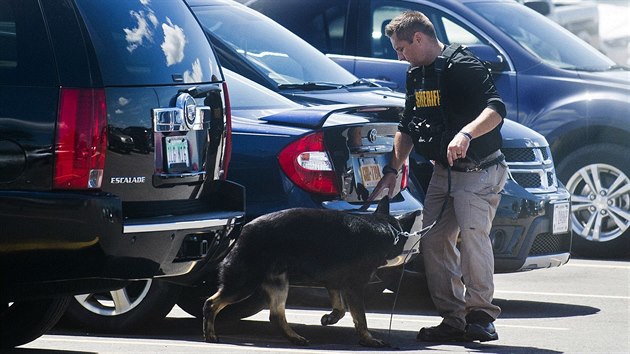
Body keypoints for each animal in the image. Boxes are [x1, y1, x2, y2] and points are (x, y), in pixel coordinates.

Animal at [205, 198, 408, 348]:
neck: (382, 227)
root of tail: (243, 231)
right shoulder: (354, 288)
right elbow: (361, 318)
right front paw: (368, 339)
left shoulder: (334, 284)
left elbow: (341, 308)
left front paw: (330, 318)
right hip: (243, 284)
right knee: (211, 303)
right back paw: (210, 335)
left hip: (278, 284)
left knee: (276, 316)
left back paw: (294, 337)